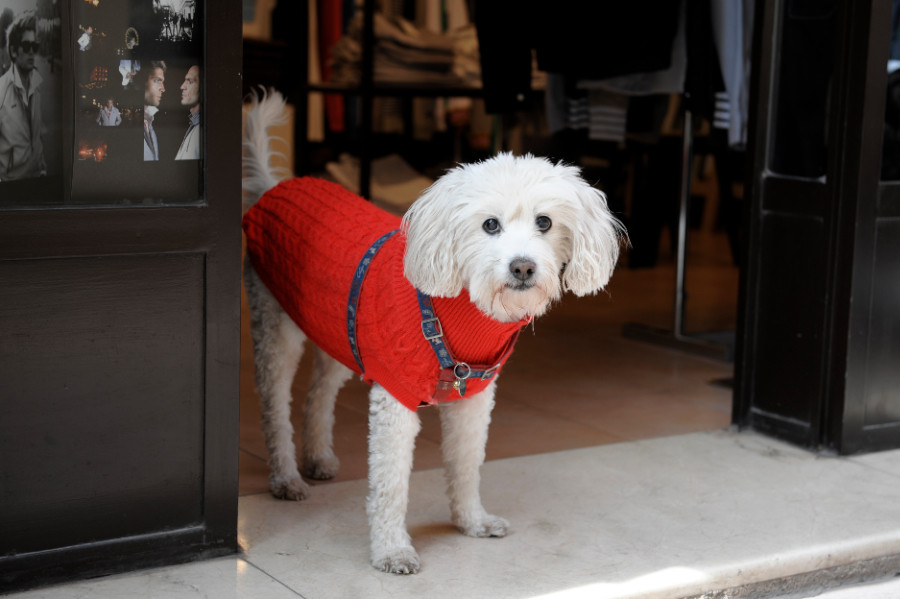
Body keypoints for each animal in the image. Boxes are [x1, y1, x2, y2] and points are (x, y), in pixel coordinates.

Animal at [241, 90, 624, 576]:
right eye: (490, 224)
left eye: (545, 223)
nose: (522, 267)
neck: (458, 310)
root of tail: (273, 189)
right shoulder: (396, 398)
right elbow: (390, 484)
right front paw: (391, 550)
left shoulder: (474, 398)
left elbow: (466, 463)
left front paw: (471, 521)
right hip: (277, 330)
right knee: (275, 407)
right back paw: (286, 476)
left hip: (338, 334)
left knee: (319, 393)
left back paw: (318, 457)